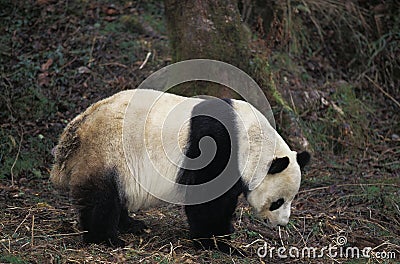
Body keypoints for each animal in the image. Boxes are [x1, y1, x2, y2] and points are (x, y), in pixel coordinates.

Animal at [50, 89, 310, 253]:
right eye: (278, 202)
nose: (282, 223)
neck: (252, 141)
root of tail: (75, 130)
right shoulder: (218, 148)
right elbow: (206, 201)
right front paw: (216, 243)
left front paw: (224, 233)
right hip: (107, 152)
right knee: (102, 199)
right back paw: (106, 239)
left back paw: (132, 224)